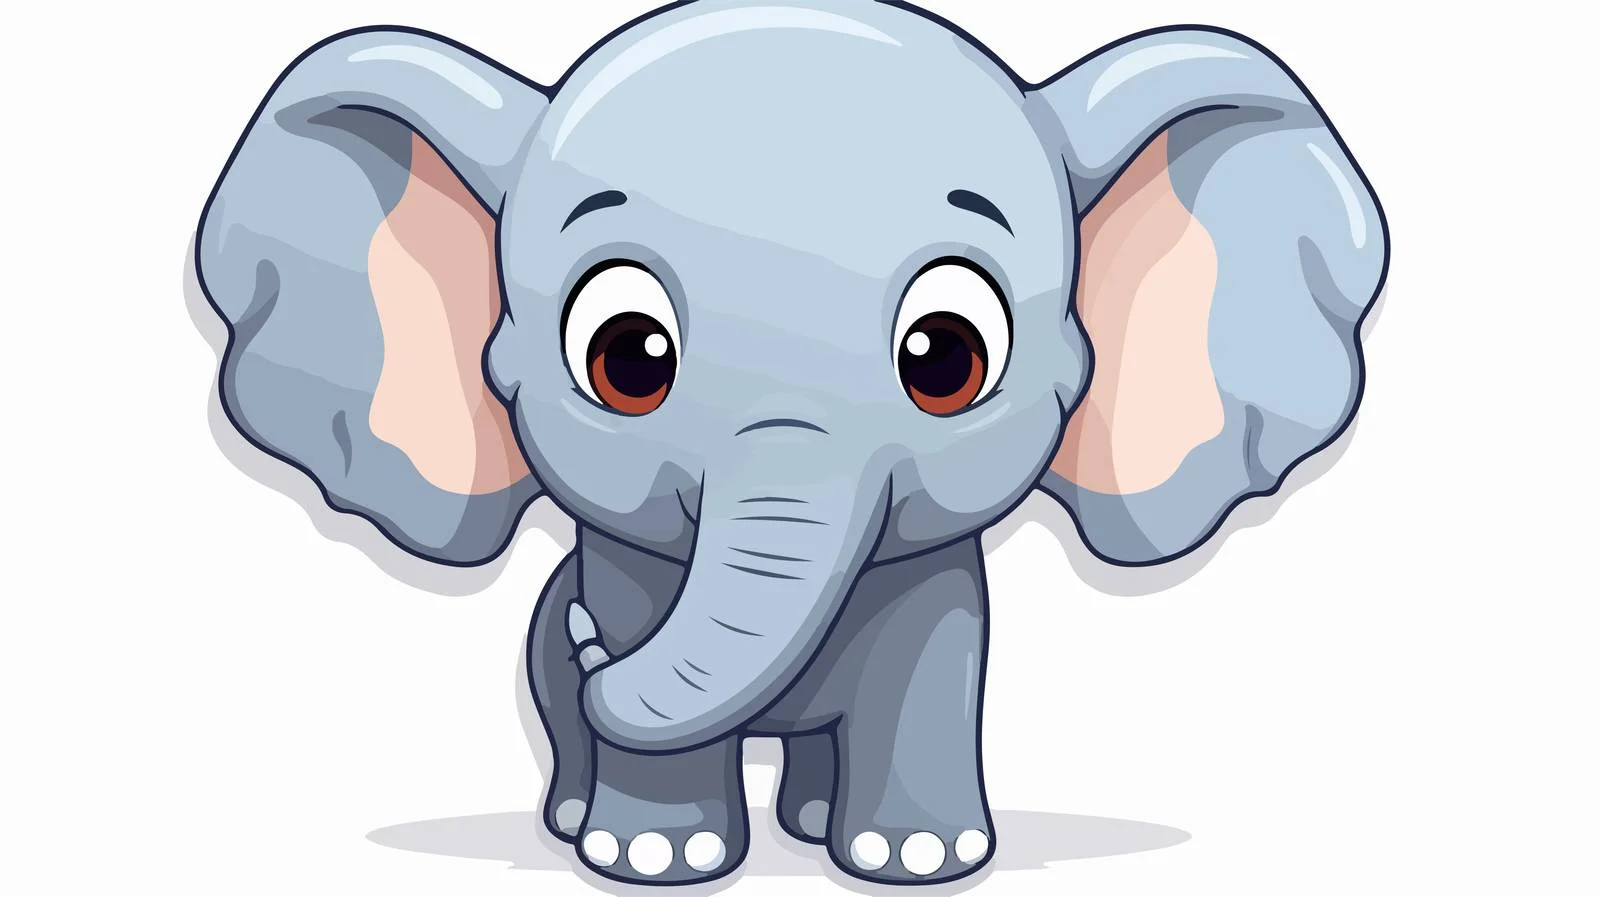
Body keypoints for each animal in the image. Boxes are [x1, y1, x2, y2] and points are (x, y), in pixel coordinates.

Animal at [195, 0, 1387, 886]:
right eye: (627, 358)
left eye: (947, 356)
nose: (586, 640)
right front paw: (651, 862)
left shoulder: (939, 590)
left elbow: (930, 666)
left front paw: (920, 861)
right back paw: (578, 823)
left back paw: (817, 828)